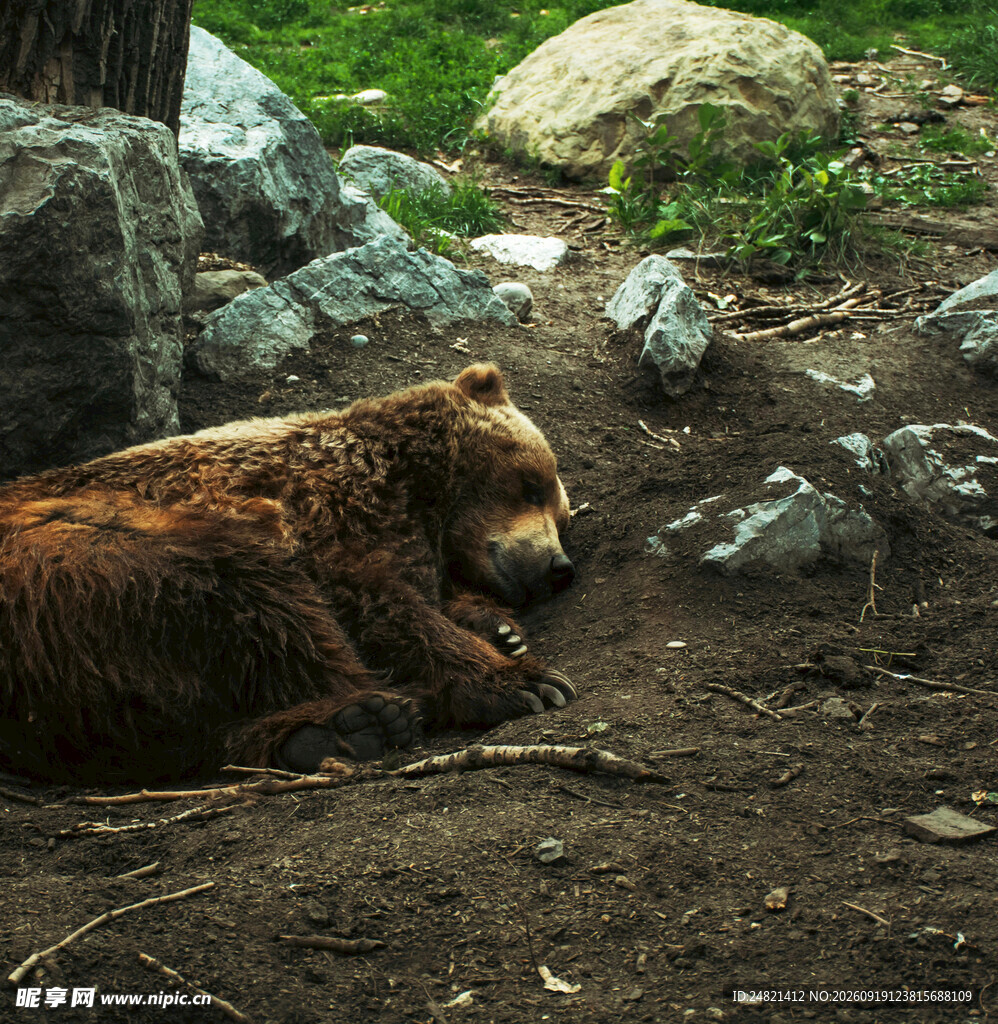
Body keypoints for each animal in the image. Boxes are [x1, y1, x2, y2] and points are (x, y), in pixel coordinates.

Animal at [0, 365, 576, 783]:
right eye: (531, 485)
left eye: (562, 517)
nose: (559, 567)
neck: (420, 489)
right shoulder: (331, 511)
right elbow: (379, 604)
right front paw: (525, 681)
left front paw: (499, 630)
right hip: (101, 552)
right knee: (258, 601)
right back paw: (363, 716)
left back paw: (333, 731)